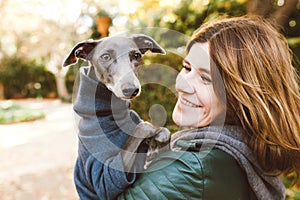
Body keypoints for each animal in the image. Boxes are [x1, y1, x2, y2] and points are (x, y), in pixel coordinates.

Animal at [62, 34, 171, 172]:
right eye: (106, 56)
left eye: (136, 55)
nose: (131, 90)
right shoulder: (107, 170)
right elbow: (143, 127)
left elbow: (165, 131)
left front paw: (156, 143)